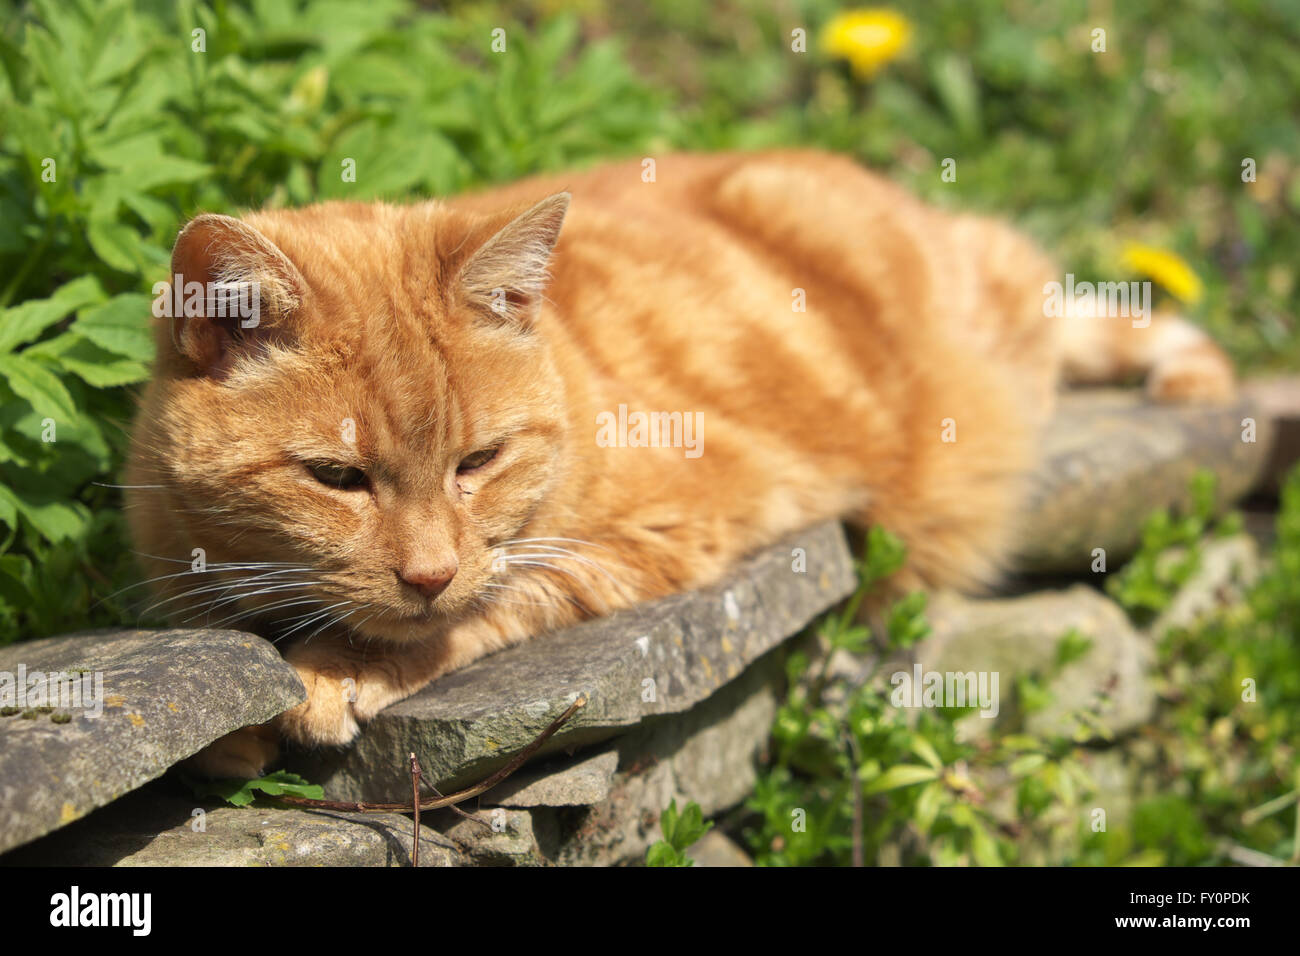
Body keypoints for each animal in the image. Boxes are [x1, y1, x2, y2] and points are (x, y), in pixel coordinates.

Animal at [126, 149, 1232, 780]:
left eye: (479, 460)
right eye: (338, 479)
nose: (428, 571)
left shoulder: (664, 534)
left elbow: (492, 604)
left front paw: (343, 668)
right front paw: (235, 730)